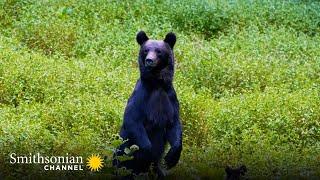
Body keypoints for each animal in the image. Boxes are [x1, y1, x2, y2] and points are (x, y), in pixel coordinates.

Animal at [113, 31, 182, 177]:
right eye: (146, 50)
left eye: (159, 51)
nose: (149, 60)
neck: (157, 83)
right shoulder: (141, 96)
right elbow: (133, 120)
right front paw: (148, 154)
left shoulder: (170, 98)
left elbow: (174, 124)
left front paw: (171, 158)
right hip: (121, 155)